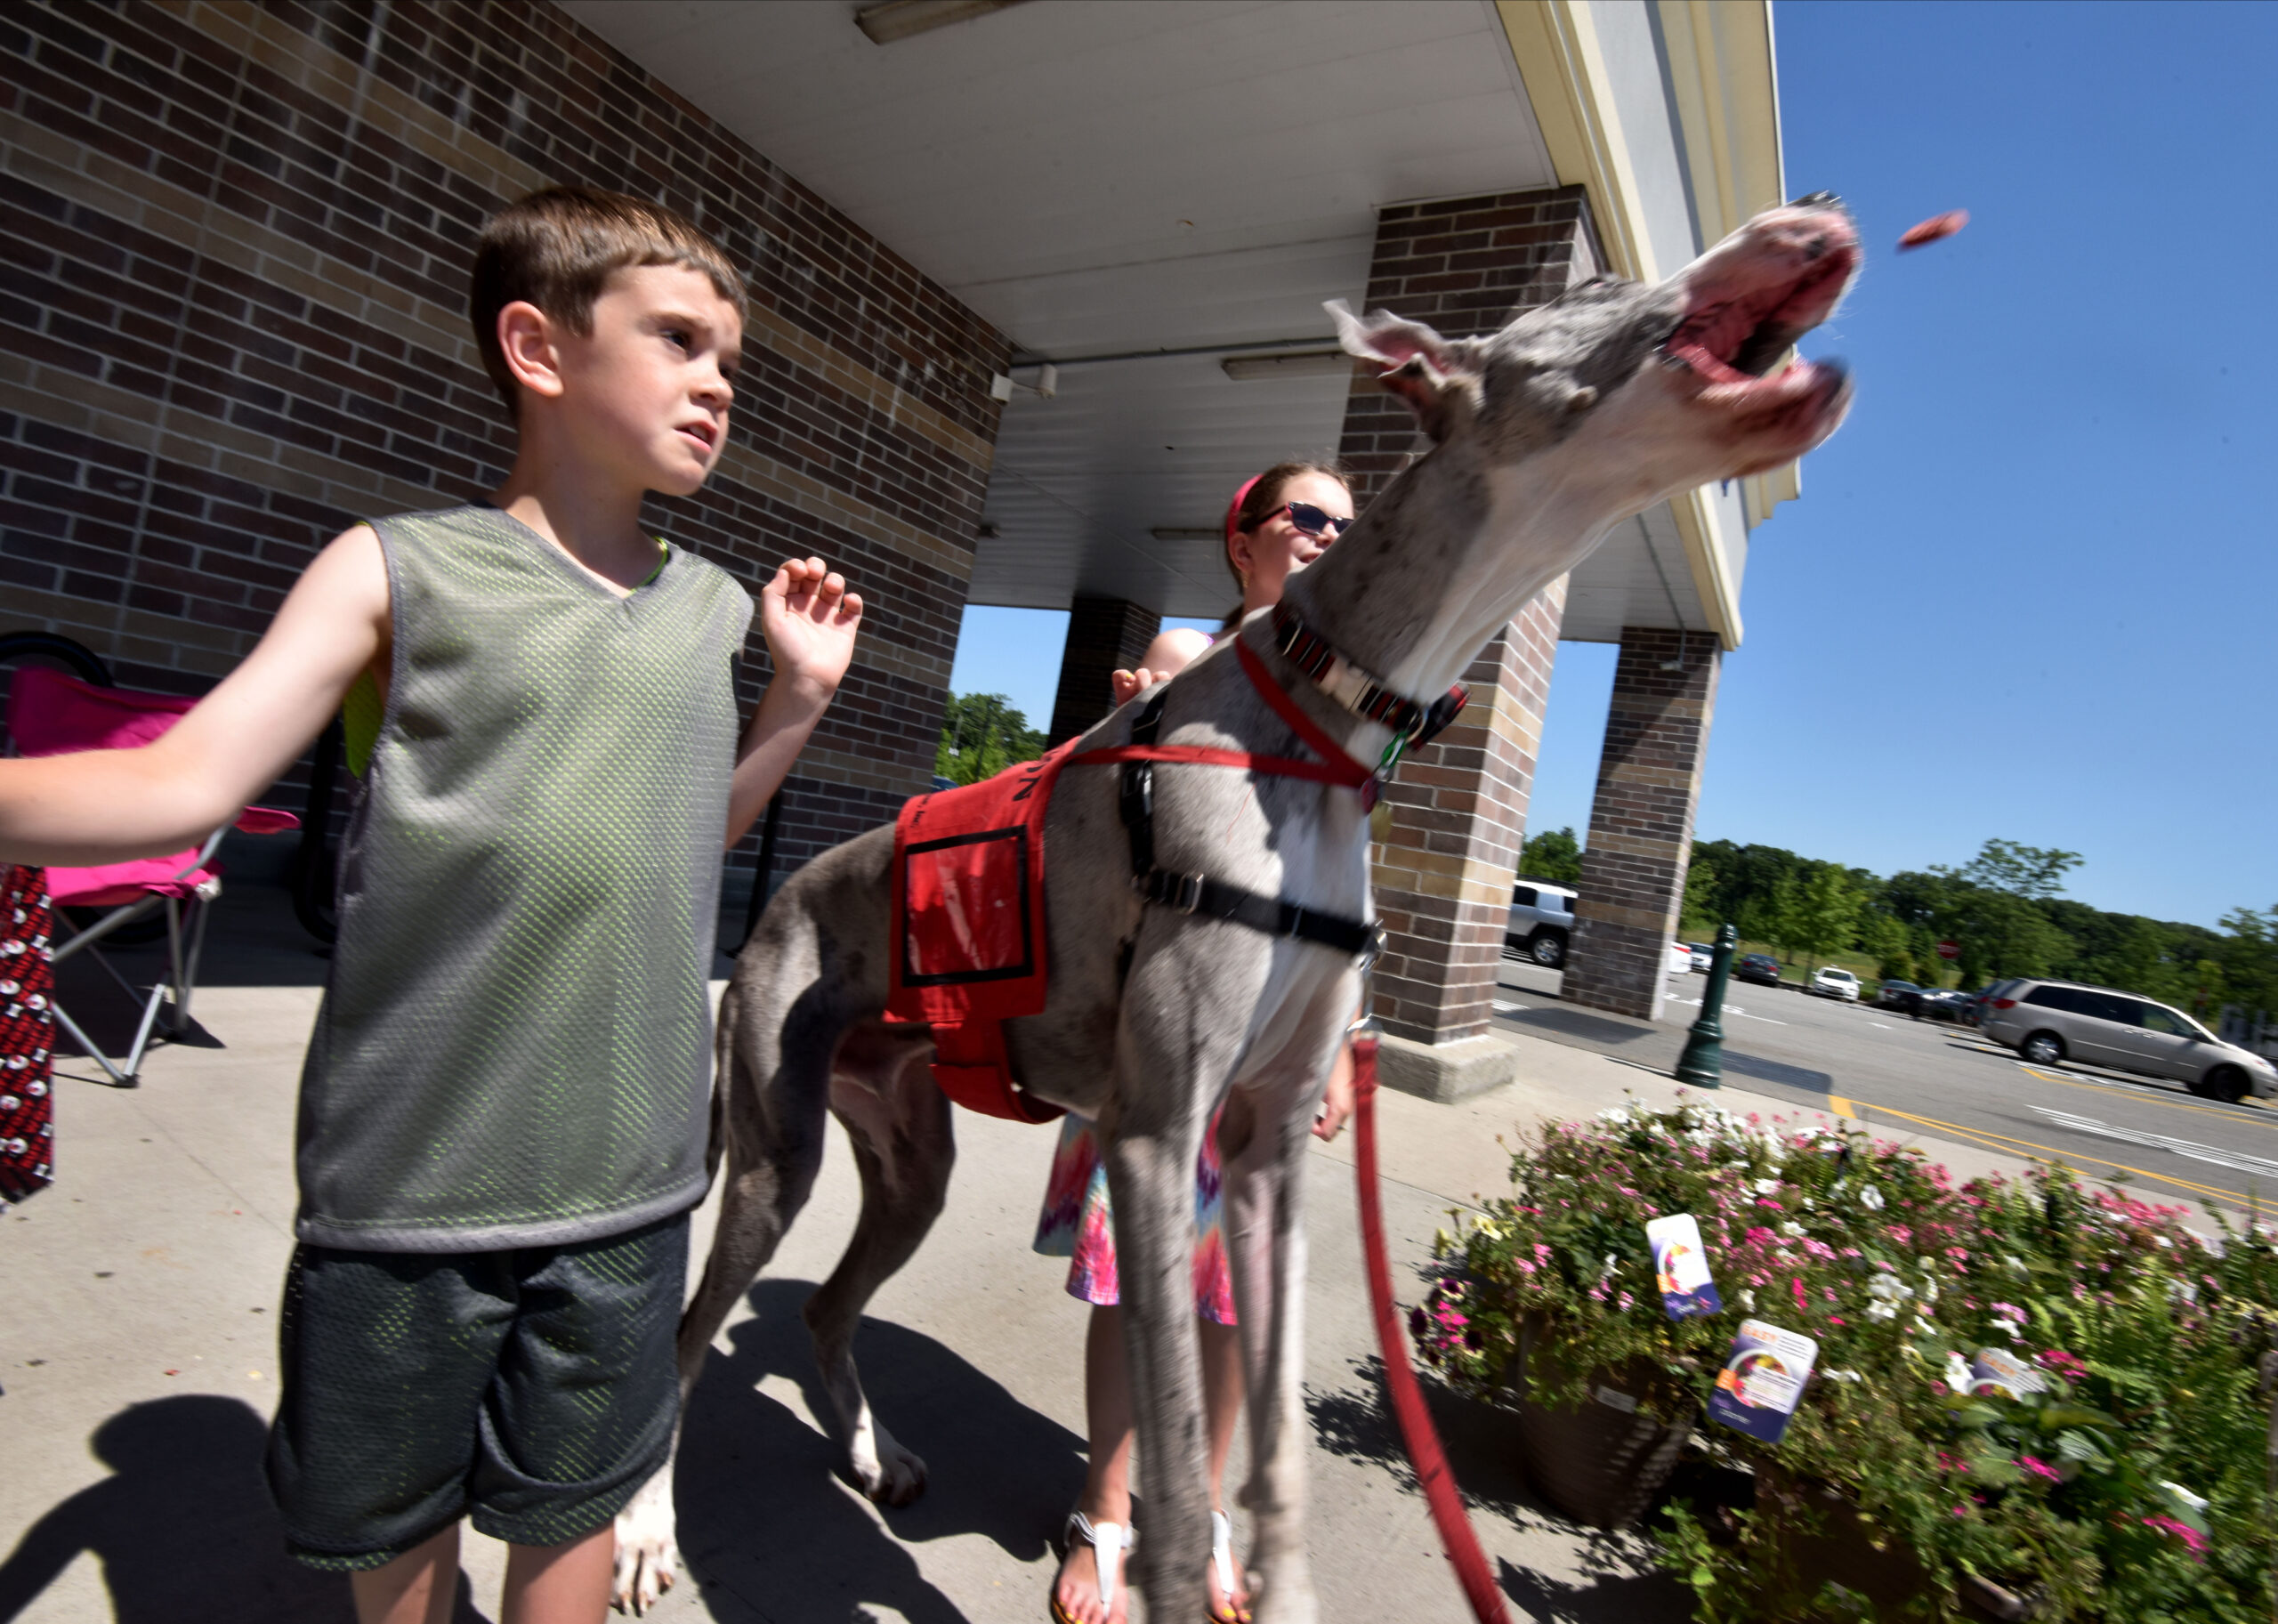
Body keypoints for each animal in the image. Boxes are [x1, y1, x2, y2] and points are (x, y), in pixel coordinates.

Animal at [615, 196, 1858, 1612]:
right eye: (1611, 288)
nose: (1817, 213)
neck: (1327, 712)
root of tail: (777, 901)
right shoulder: (1161, 1137)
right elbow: (1171, 1447)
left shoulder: (1265, 1152)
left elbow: (1266, 1448)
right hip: (779, 1143)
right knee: (692, 1332)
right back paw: (645, 1529)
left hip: (909, 1154)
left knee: (823, 1307)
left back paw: (875, 1455)